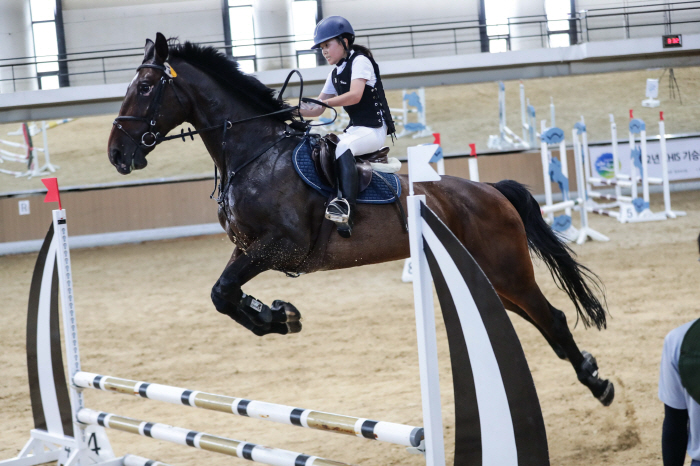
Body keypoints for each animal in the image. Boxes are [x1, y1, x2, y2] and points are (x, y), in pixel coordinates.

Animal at [108, 31, 612, 404]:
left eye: (146, 88)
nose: (116, 155)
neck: (254, 154)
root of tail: (490, 190)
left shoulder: (281, 246)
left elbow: (223, 291)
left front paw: (278, 316)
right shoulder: (248, 247)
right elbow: (224, 294)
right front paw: (278, 315)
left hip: (508, 270)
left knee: (553, 318)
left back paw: (598, 384)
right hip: (491, 279)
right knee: (540, 319)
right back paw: (590, 371)